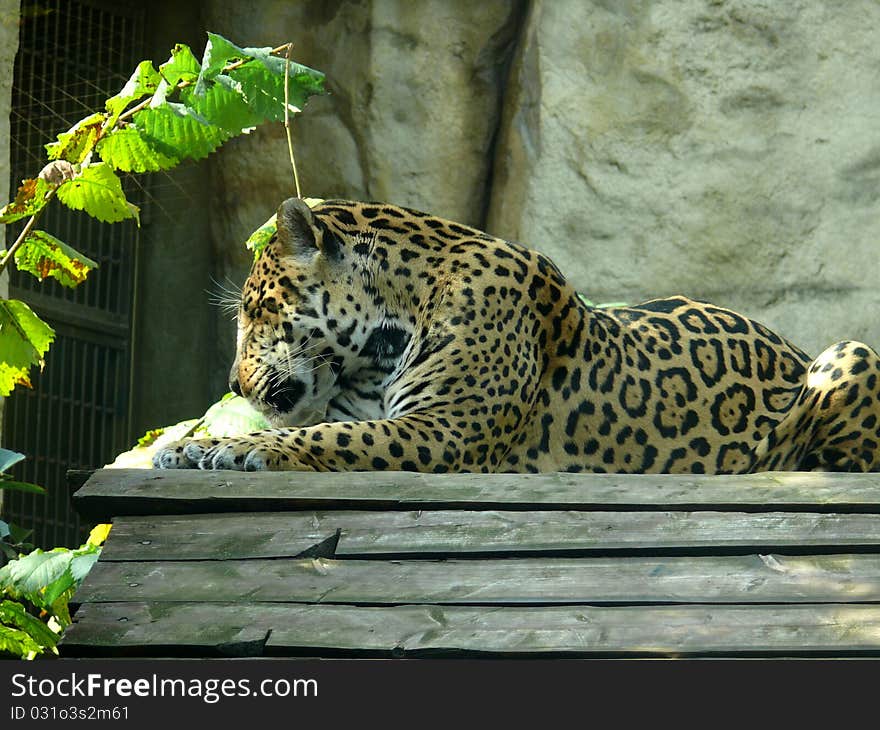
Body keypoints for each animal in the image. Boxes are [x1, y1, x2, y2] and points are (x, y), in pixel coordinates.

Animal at [155, 198, 880, 472]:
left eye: (256, 309)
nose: (231, 381)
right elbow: (320, 425)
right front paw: (193, 445)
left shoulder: (443, 430)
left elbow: (331, 436)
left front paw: (225, 449)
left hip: (853, 353)